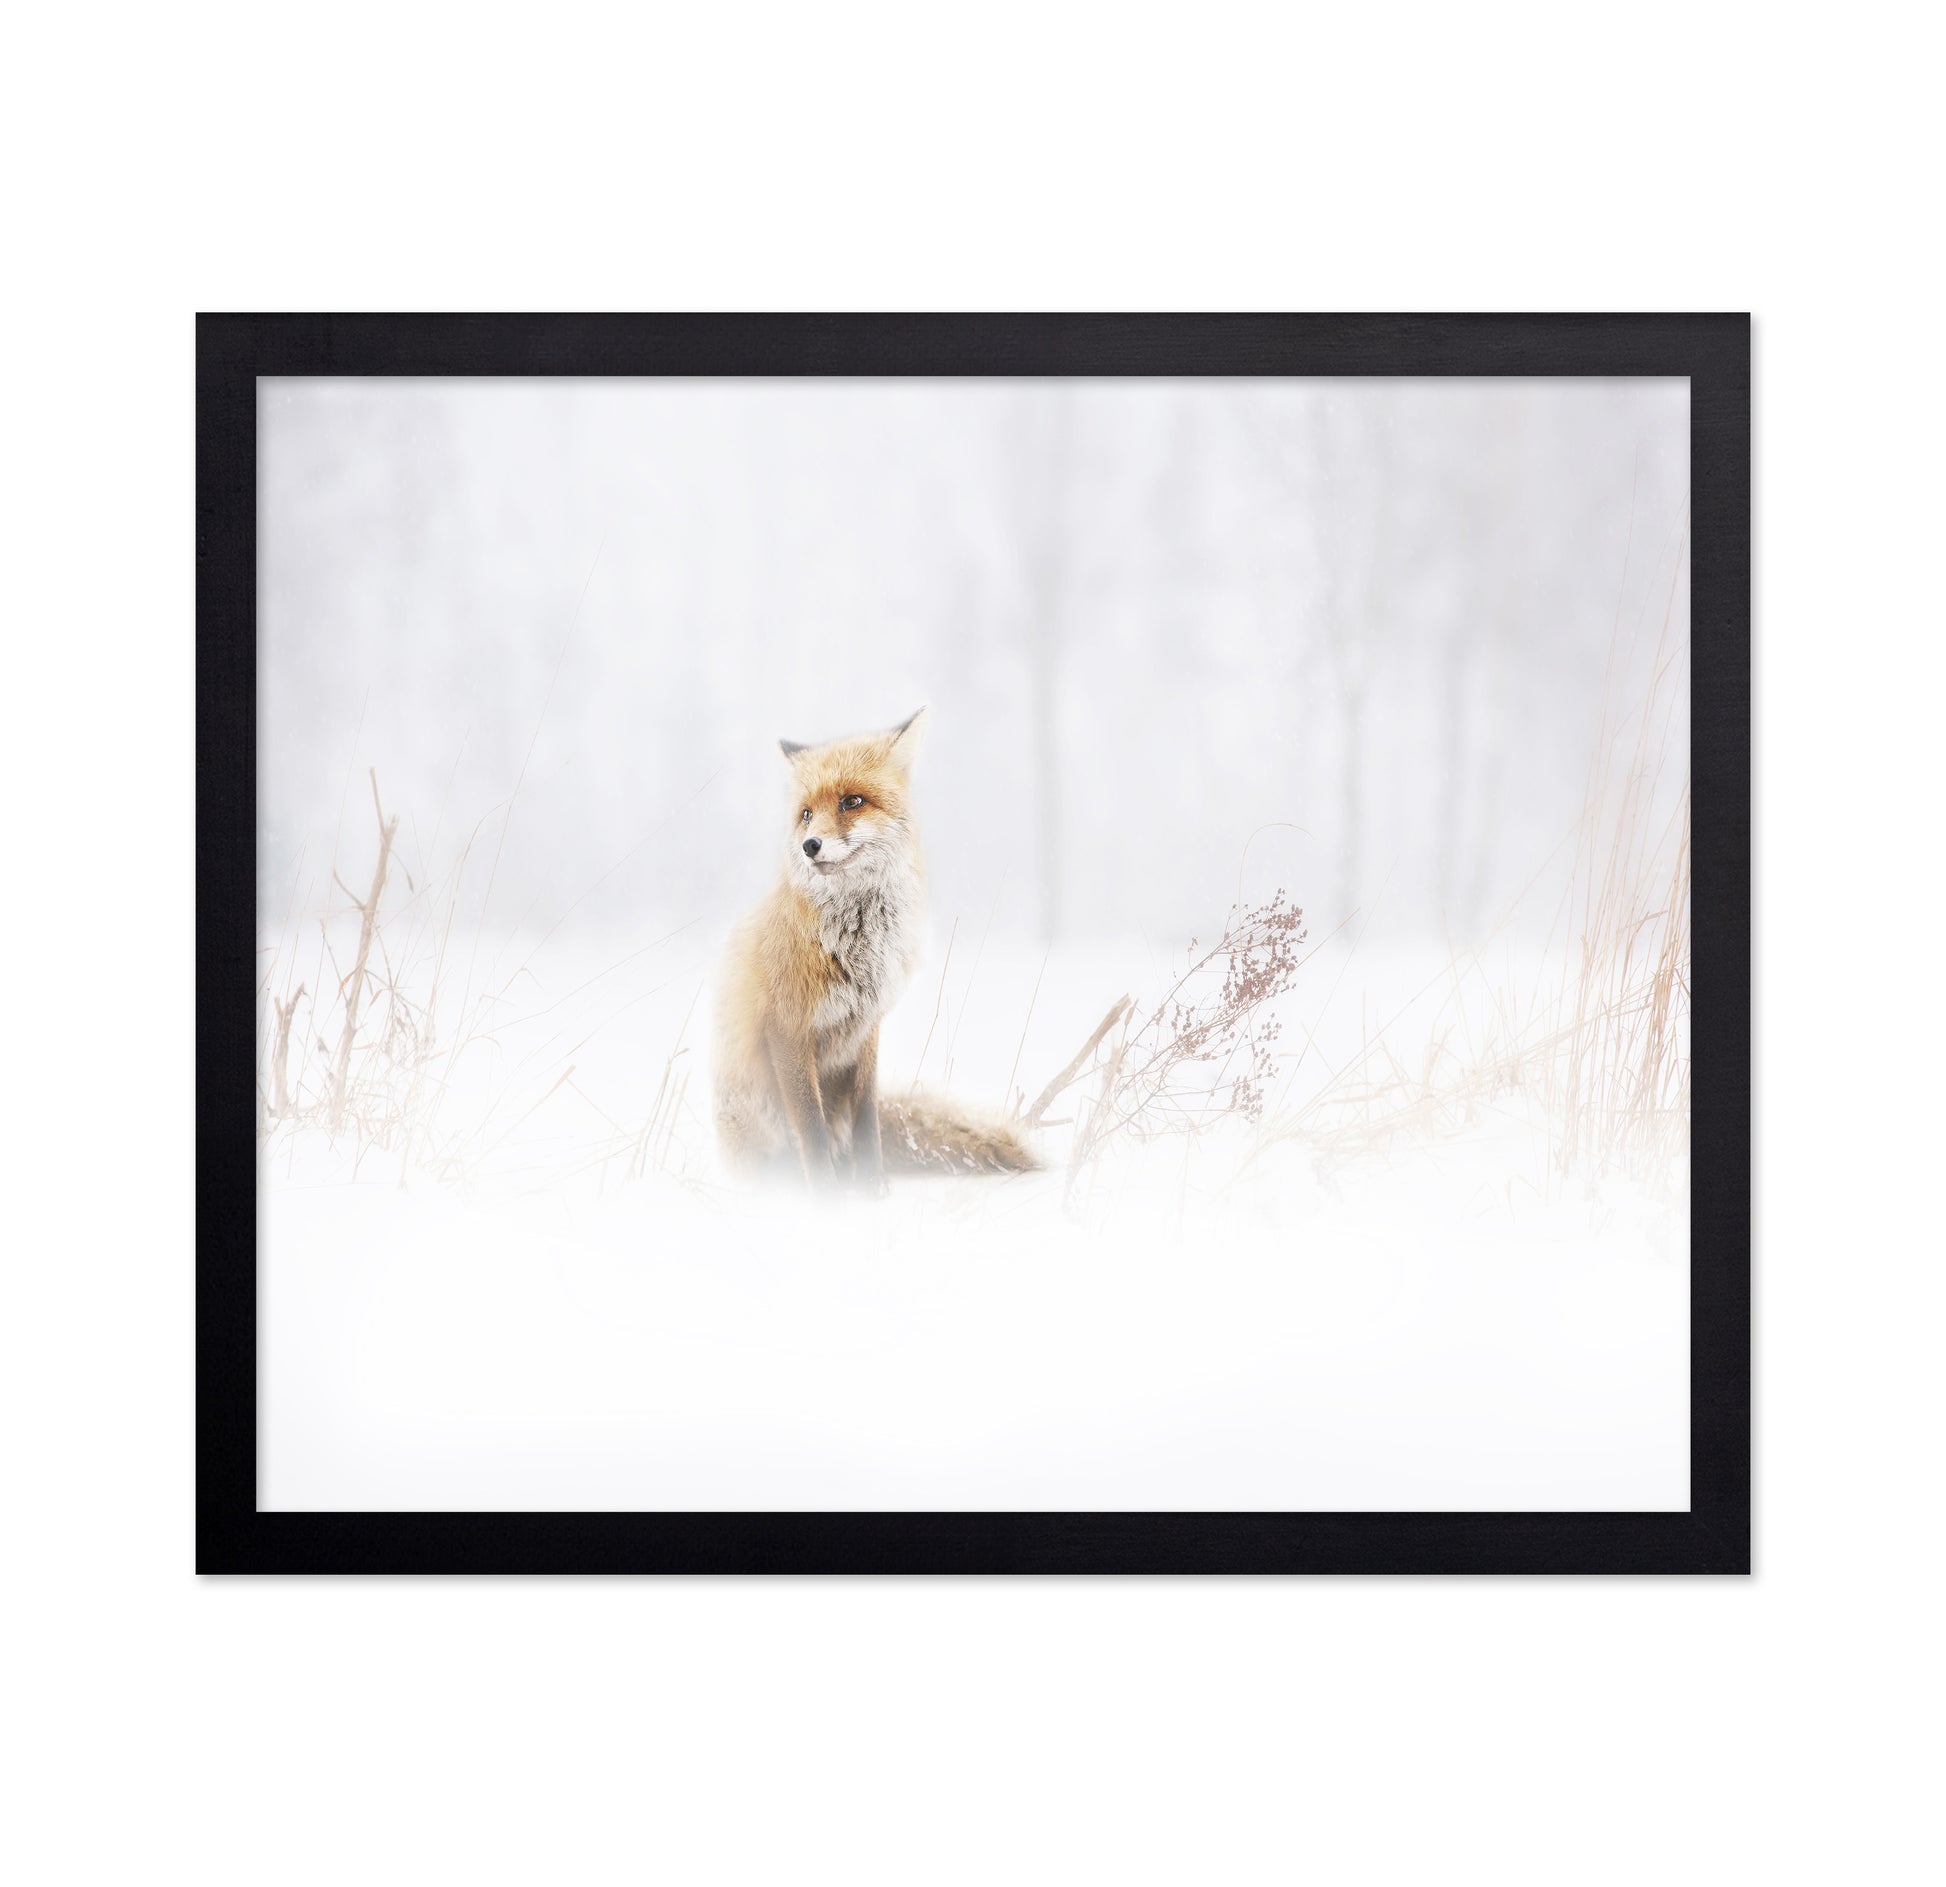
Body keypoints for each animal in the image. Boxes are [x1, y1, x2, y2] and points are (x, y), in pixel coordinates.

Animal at [713, 707, 1038, 1188]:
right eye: (806, 814)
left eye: (852, 802)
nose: (810, 846)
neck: (858, 949)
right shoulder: (787, 1028)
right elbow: (811, 1126)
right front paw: (827, 1196)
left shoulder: (866, 1029)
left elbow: (867, 1116)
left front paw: (872, 1188)